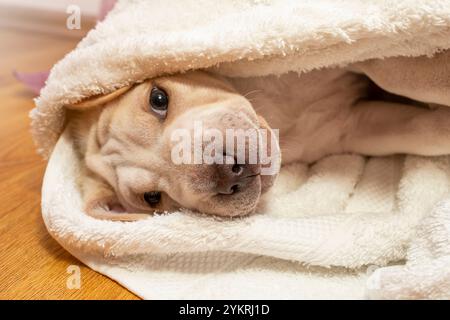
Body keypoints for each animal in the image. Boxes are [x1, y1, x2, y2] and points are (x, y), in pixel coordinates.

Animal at [67, 50, 450, 220]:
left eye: (158, 98)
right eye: (152, 199)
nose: (225, 172)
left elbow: (403, 72)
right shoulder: (352, 127)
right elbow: (424, 130)